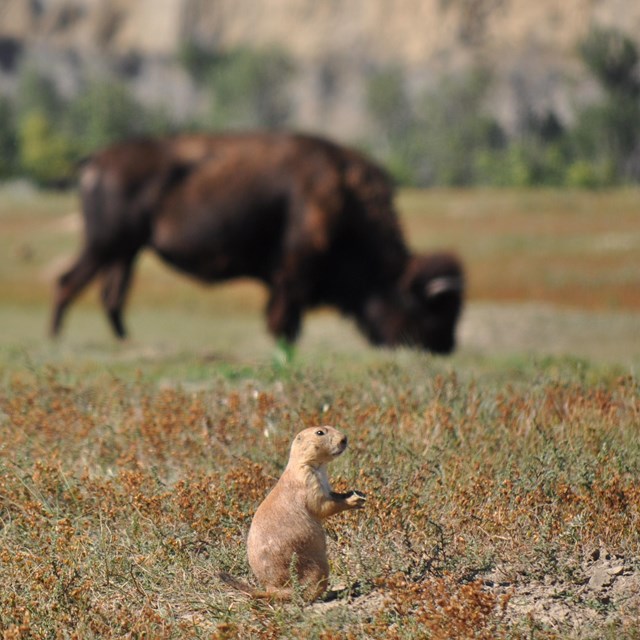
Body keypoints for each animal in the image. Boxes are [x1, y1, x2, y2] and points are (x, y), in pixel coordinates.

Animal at [48, 134, 460, 356]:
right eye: (428, 309)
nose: (445, 347)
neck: (343, 196)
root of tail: (98, 159)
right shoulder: (294, 273)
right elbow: (285, 317)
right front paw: (283, 346)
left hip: (125, 251)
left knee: (110, 295)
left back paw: (127, 342)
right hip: (105, 246)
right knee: (69, 282)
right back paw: (57, 338)